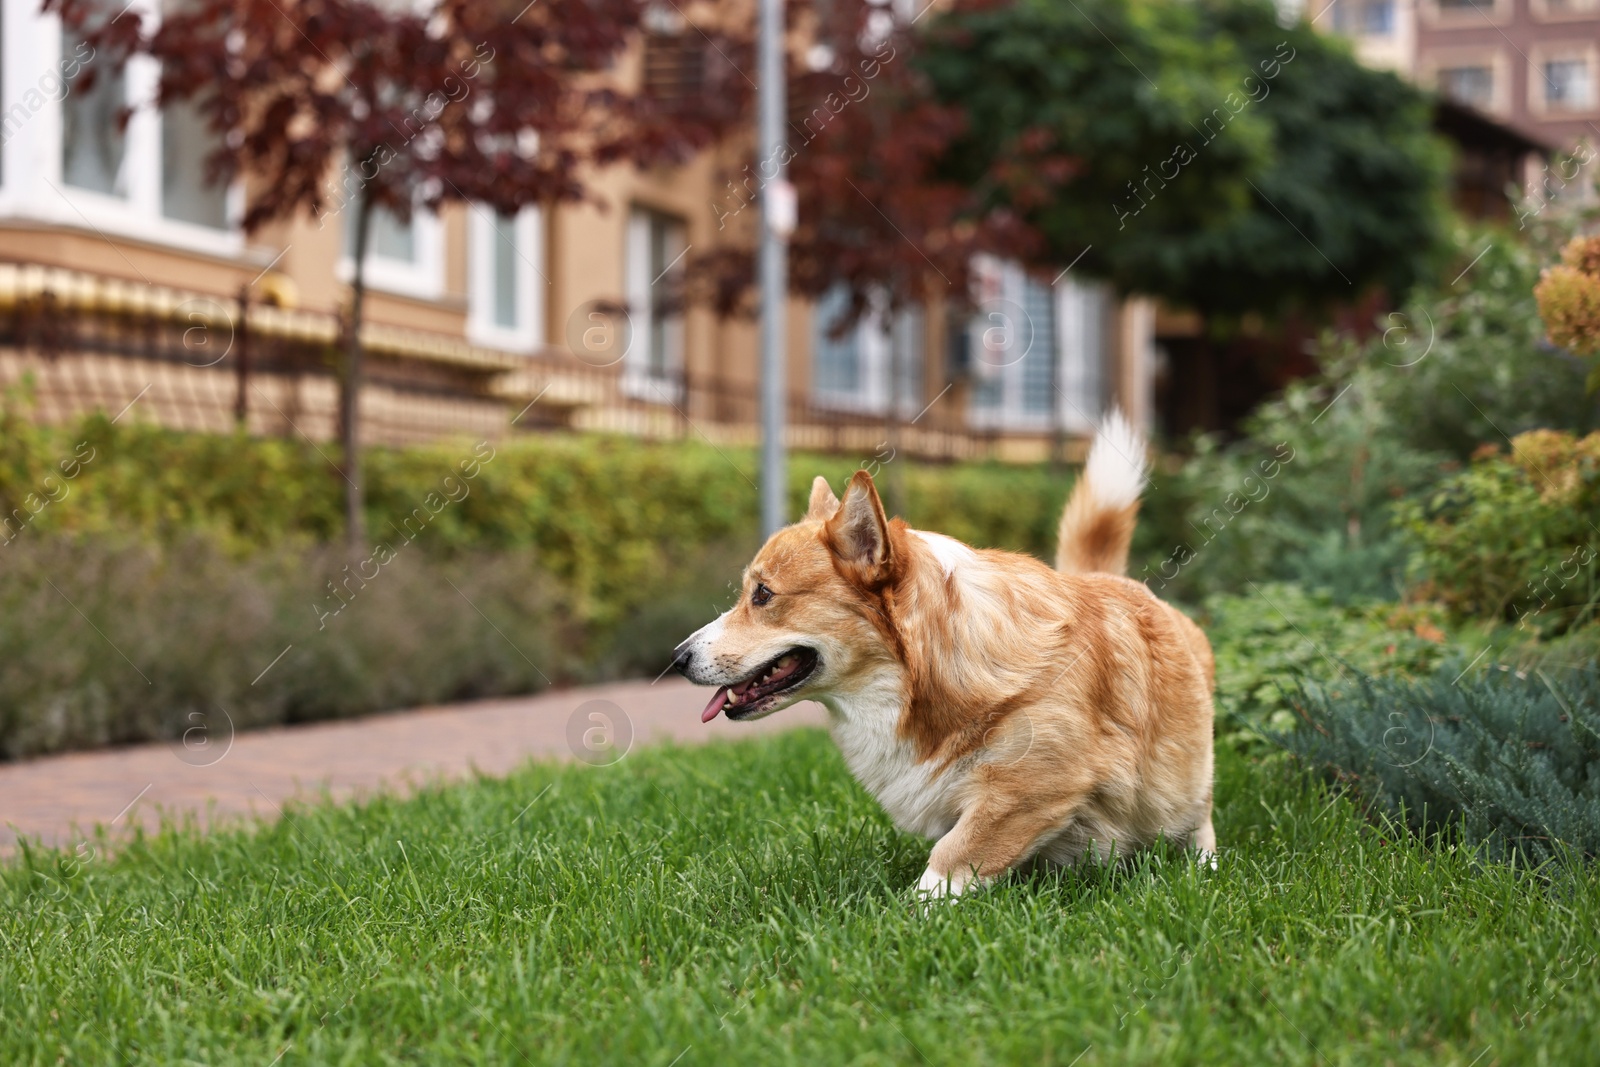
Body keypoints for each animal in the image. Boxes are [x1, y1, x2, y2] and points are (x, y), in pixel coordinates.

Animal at [675, 412, 1209, 895]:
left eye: (763, 594)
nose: (677, 658)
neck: (926, 670)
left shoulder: (1032, 787)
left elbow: (951, 856)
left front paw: (905, 917)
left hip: (1185, 786)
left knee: (1197, 823)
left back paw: (1203, 867)